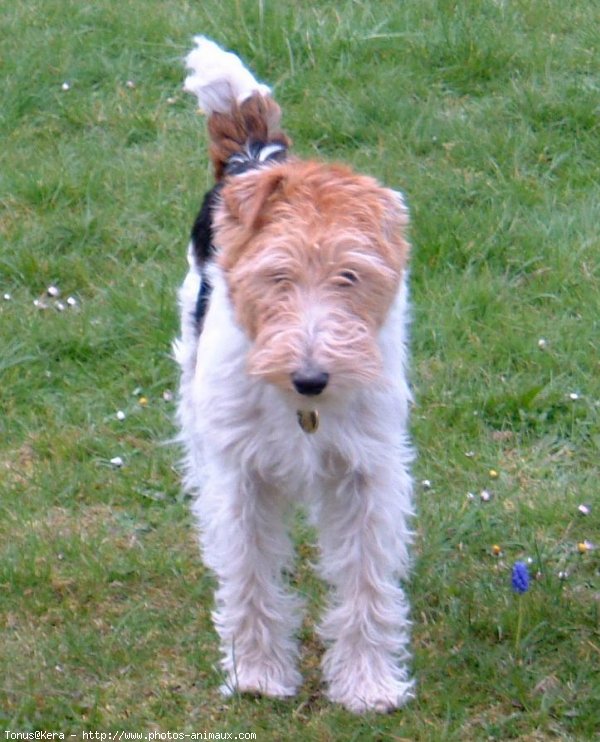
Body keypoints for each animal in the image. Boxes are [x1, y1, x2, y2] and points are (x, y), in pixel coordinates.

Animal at [176, 36, 414, 716]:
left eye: (351, 275)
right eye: (275, 273)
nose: (311, 379)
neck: (303, 412)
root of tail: (254, 157)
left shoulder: (368, 471)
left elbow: (365, 581)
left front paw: (368, 685)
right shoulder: (241, 476)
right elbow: (250, 577)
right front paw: (258, 675)